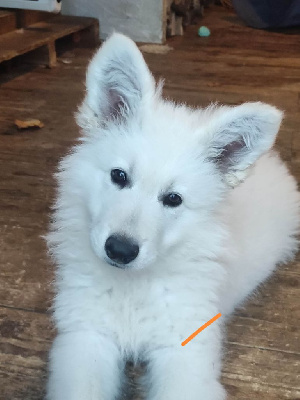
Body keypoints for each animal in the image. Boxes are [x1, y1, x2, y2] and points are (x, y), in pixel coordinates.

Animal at [45, 33, 298, 400]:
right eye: (119, 176)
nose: (120, 250)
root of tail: (272, 160)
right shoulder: (86, 336)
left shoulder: (185, 349)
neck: (133, 287)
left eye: (173, 199)